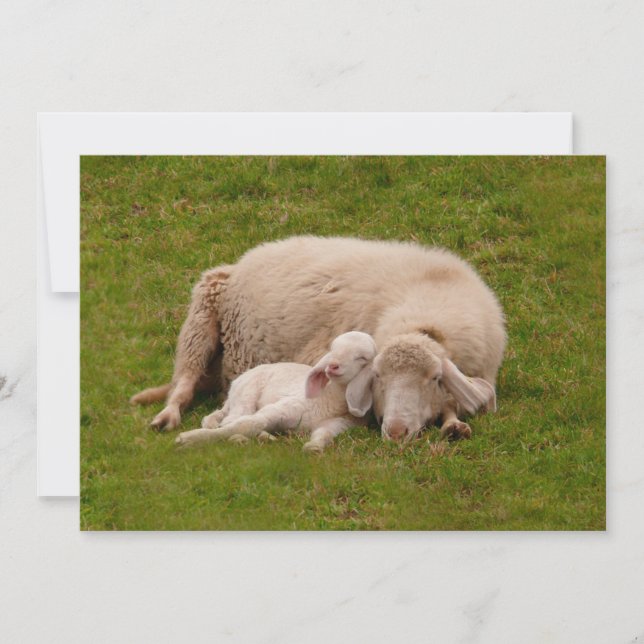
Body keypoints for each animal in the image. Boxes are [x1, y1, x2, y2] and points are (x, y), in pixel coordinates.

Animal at [174, 331, 377, 453]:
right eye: (332, 349)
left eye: (362, 357)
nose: (332, 366)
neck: (330, 397)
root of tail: (236, 384)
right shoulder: (282, 408)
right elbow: (247, 424)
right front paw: (190, 438)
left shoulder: (339, 424)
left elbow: (324, 434)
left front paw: (314, 447)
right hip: (246, 394)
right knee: (232, 418)